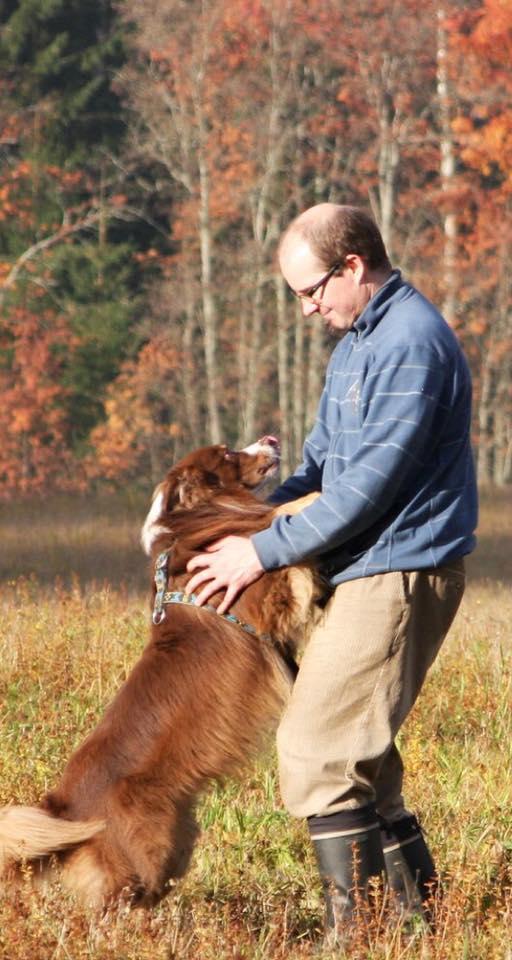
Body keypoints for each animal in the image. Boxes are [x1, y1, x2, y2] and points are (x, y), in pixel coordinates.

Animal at [0, 440, 321, 909]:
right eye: (227, 454)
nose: (272, 440)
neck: (193, 526)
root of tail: (62, 809)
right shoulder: (264, 593)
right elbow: (277, 521)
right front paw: (312, 498)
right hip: (145, 849)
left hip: (176, 840)